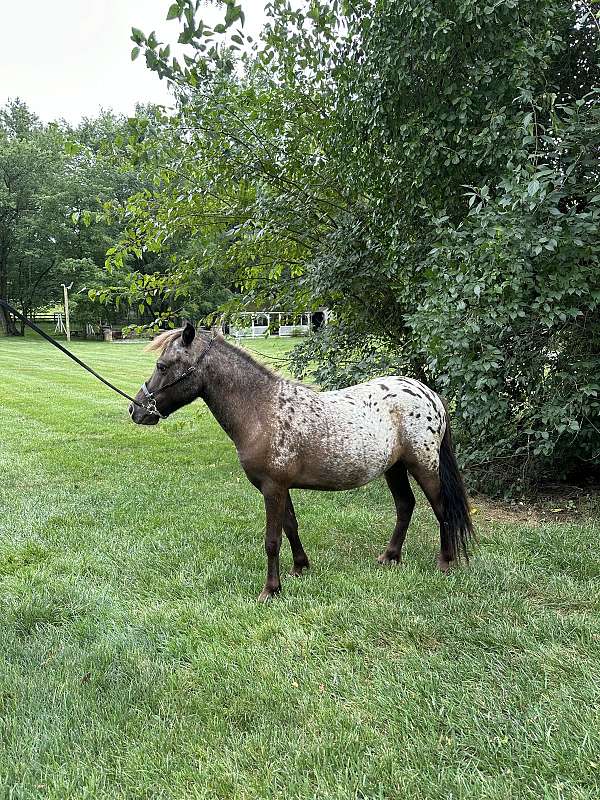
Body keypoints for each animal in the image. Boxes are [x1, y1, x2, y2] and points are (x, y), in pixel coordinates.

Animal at [130, 324, 474, 600]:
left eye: (162, 365)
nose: (136, 410)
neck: (262, 409)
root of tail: (430, 393)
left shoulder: (272, 488)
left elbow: (272, 539)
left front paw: (270, 590)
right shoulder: (279, 487)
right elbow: (291, 526)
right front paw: (299, 569)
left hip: (423, 466)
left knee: (441, 509)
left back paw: (445, 562)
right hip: (395, 468)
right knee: (405, 506)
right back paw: (389, 557)